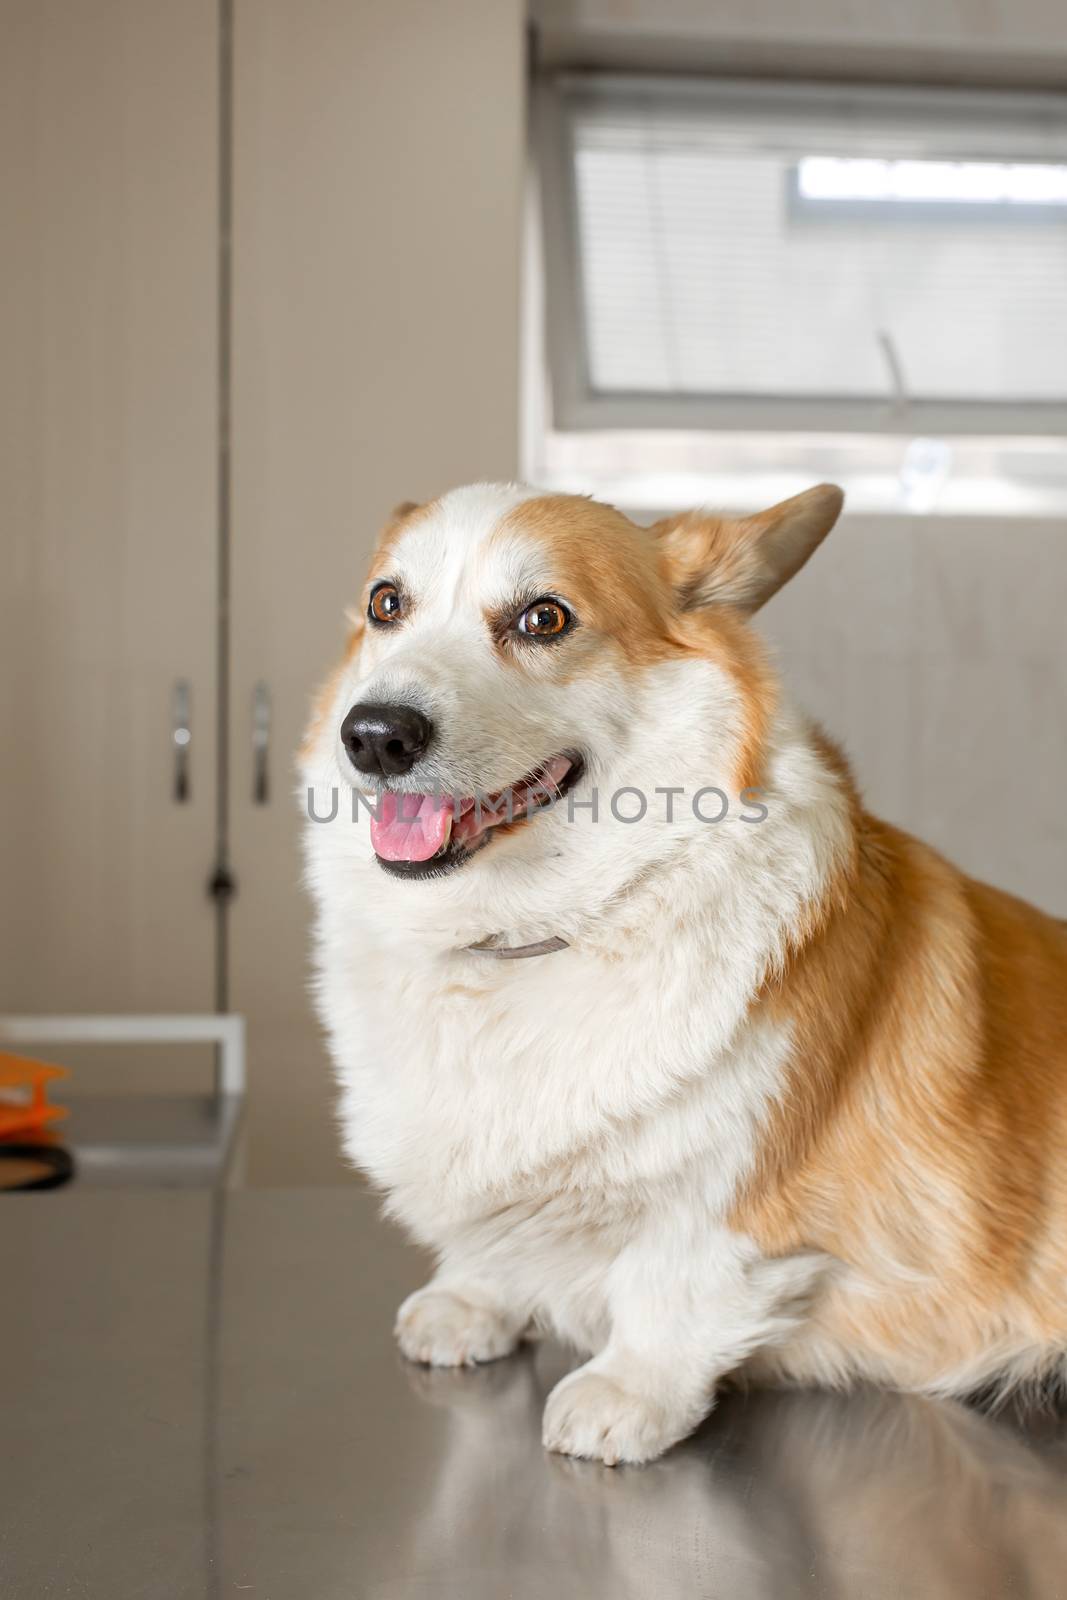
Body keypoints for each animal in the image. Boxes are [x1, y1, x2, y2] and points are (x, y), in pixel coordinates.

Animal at [300, 483, 1067, 1465]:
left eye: (543, 618)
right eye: (386, 604)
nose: (374, 735)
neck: (522, 934)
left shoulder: (734, 1200)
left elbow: (676, 1282)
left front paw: (626, 1394)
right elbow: (493, 1249)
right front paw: (472, 1299)